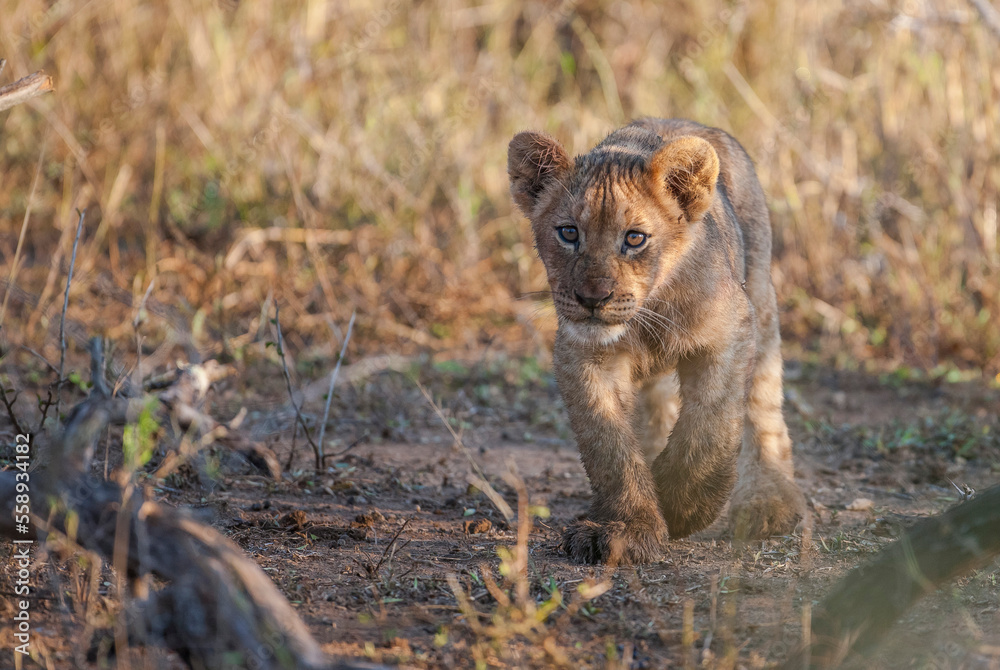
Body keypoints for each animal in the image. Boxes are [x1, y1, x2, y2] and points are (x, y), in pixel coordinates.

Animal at [507, 118, 806, 564]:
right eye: (568, 233)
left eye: (634, 239)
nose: (593, 299)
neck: (649, 313)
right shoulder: (583, 355)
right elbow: (608, 446)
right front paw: (626, 526)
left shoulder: (731, 332)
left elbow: (710, 426)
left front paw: (684, 506)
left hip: (761, 297)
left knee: (764, 409)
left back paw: (769, 503)